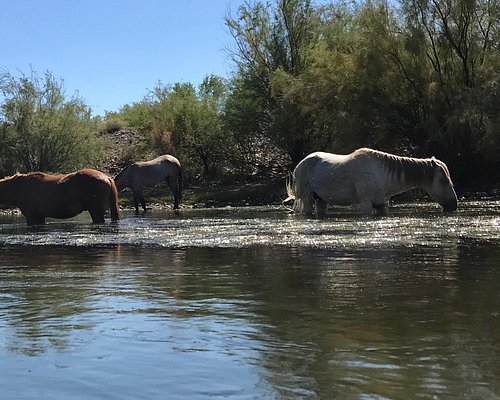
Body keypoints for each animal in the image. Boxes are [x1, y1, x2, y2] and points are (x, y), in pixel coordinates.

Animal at [286, 147, 458, 216]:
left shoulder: (382, 204)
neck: (381, 173)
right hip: (307, 198)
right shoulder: (366, 203)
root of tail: (300, 164)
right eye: (443, 180)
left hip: (321, 200)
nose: (453, 205)